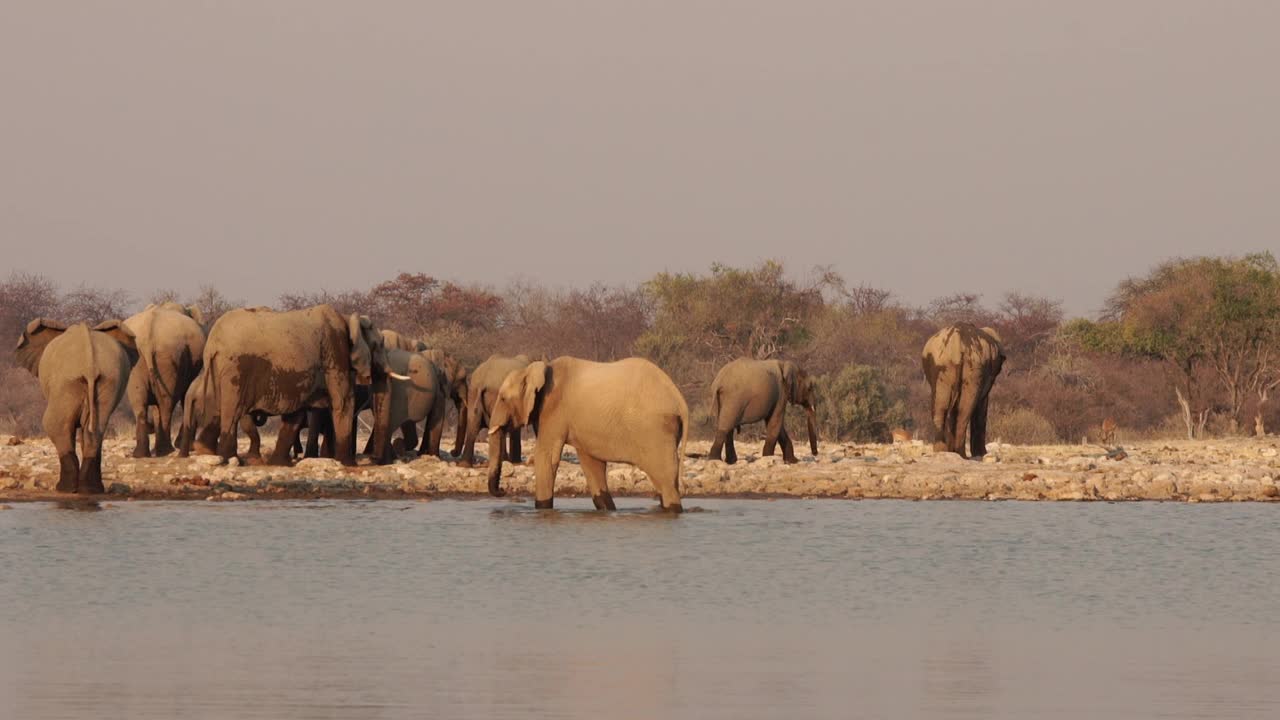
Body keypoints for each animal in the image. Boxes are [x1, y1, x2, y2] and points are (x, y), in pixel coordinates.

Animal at [14, 319, 137, 491]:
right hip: (109, 380)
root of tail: (90, 366)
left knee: (56, 425)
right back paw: (91, 490)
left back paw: (65, 488)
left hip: (66, 382)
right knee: (95, 430)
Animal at [125, 299, 207, 456]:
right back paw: (166, 450)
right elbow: (185, 394)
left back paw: (141, 454)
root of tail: (147, 339)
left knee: (140, 402)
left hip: (140, 360)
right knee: (166, 404)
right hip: (167, 357)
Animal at [483, 353, 686, 509]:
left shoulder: (553, 409)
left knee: (665, 481)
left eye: (502, 399)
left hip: (655, 431)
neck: (534, 369)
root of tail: (679, 399)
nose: (503, 491)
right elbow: (591, 463)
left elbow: (546, 456)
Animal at [926, 324, 1003, 456]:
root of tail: (957, 342)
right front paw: (981, 455)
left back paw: (943, 450)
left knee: (942, 406)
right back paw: (961, 454)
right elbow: (982, 403)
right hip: (974, 368)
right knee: (964, 409)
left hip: (942, 365)